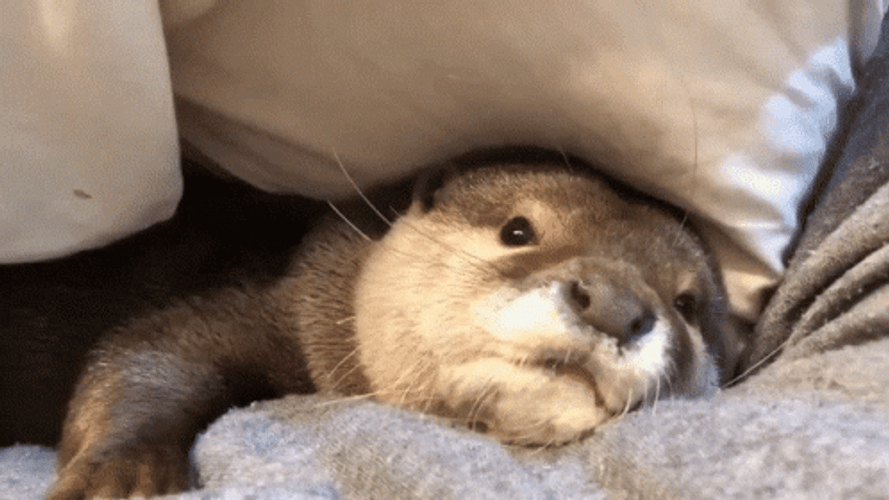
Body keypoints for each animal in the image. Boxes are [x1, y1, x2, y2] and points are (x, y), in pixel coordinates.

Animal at [47, 151, 743, 499]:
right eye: (519, 230)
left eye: (688, 304)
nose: (615, 305)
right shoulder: (275, 306)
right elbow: (150, 348)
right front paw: (119, 475)